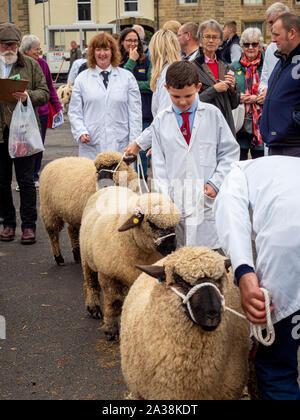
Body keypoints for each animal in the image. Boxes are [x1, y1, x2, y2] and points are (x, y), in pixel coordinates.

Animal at [78, 187, 180, 342]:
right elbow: (114, 302)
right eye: (151, 223)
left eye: (174, 225)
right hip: (87, 258)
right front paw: (111, 329)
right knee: (90, 283)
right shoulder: (108, 275)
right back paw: (93, 307)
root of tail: (110, 187)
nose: (171, 247)